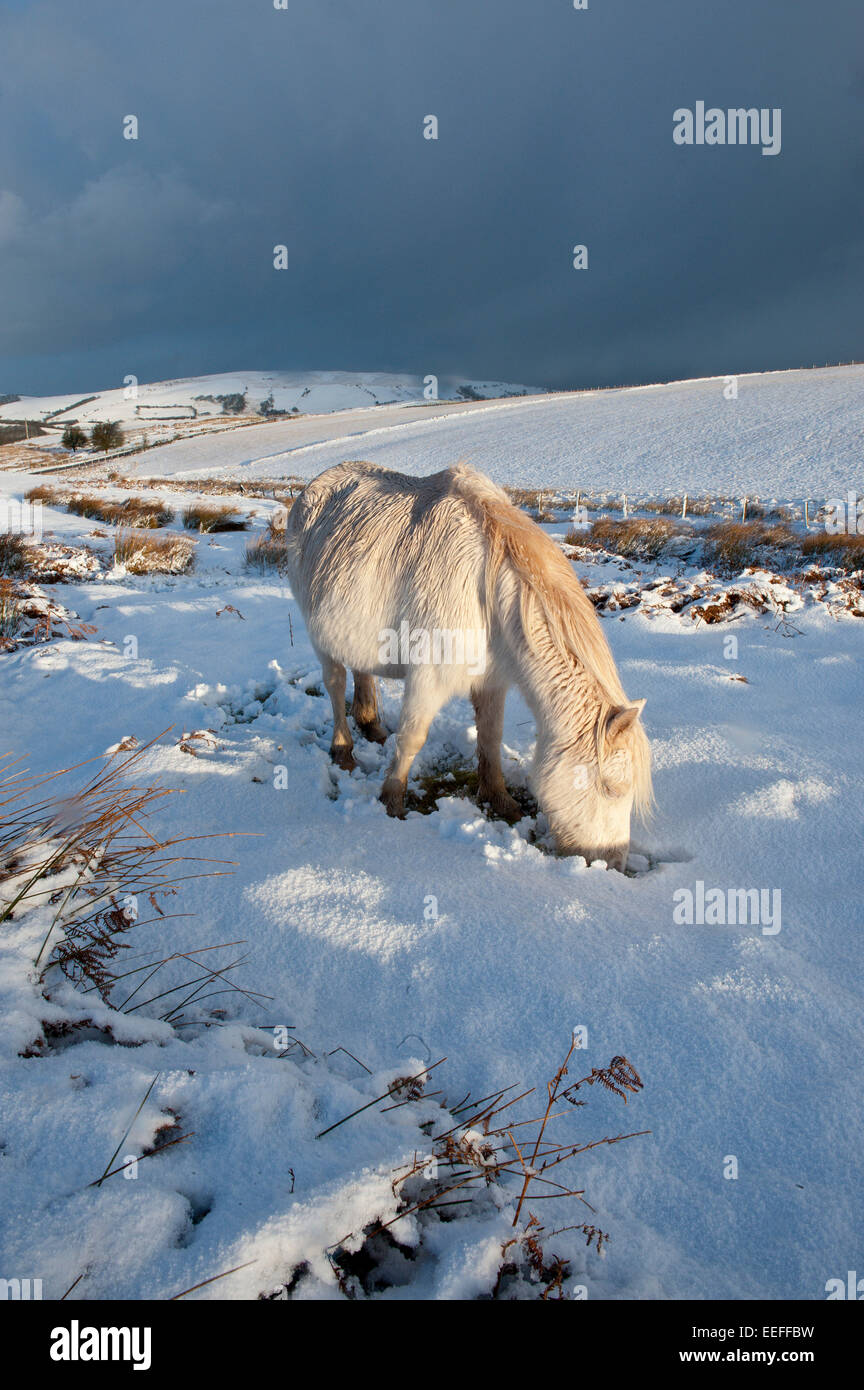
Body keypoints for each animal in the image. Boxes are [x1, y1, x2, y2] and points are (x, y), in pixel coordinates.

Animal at [287, 461, 652, 861]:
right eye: (611, 787)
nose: (613, 863)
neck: (490, 597)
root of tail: (314, 487)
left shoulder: (492, 681)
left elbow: (490, 737)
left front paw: (500, 799)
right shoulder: (428, 680)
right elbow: (412, 738)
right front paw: (391, 801)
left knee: (361, 672)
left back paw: (371, 725)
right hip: (320, 638)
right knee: (336, 686)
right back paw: (343, 750)